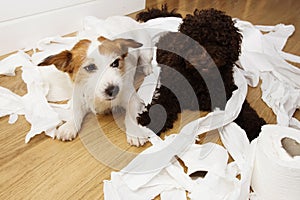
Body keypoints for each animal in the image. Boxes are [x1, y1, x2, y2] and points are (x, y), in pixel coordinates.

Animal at [136, 6, 264, 141]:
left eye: (219, 40)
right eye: (195, 40)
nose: (204, 60)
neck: (201, 78)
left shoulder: (228, 92)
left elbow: (244, 110)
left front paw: (256, 127)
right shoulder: (172, 91)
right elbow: (163, 104)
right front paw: (148, 120)